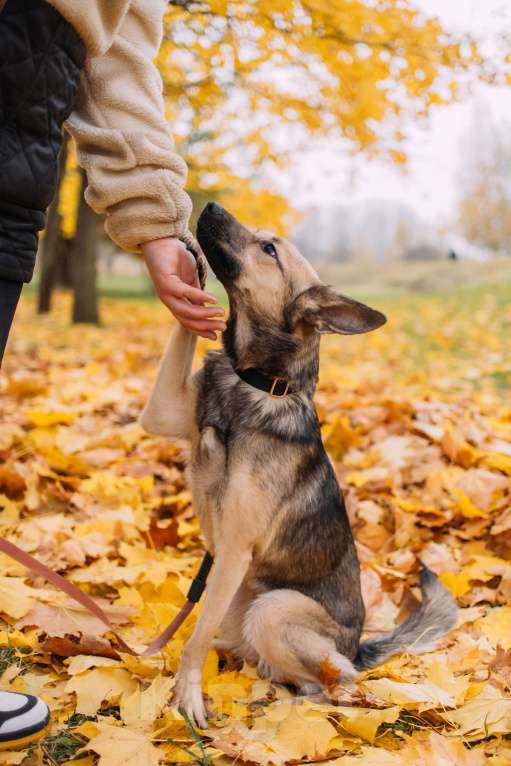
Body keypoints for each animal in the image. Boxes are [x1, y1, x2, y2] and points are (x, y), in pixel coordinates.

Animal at [139, 201, 456, 728]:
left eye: (269, 249)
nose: (209, 205)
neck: (259, 383)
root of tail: (356, 647)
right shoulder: (163, 412)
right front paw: (186, 274)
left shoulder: (233, 550)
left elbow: (194, 638)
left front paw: (188, 692)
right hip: (242, 604)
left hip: (272, 607)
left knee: (332, 685)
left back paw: (280, 708)